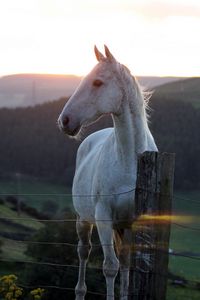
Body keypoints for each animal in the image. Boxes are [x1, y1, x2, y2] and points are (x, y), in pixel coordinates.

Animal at [57, 45, 158, 300]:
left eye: (97, 82)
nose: (64, 121)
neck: (131, 160)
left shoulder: (134, 222)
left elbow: (127, 266)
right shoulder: (103, 217)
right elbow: (110, 267)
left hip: (120, 226)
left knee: (124, 260)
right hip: (84, 220)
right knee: (84, 252)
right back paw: (80, 291)